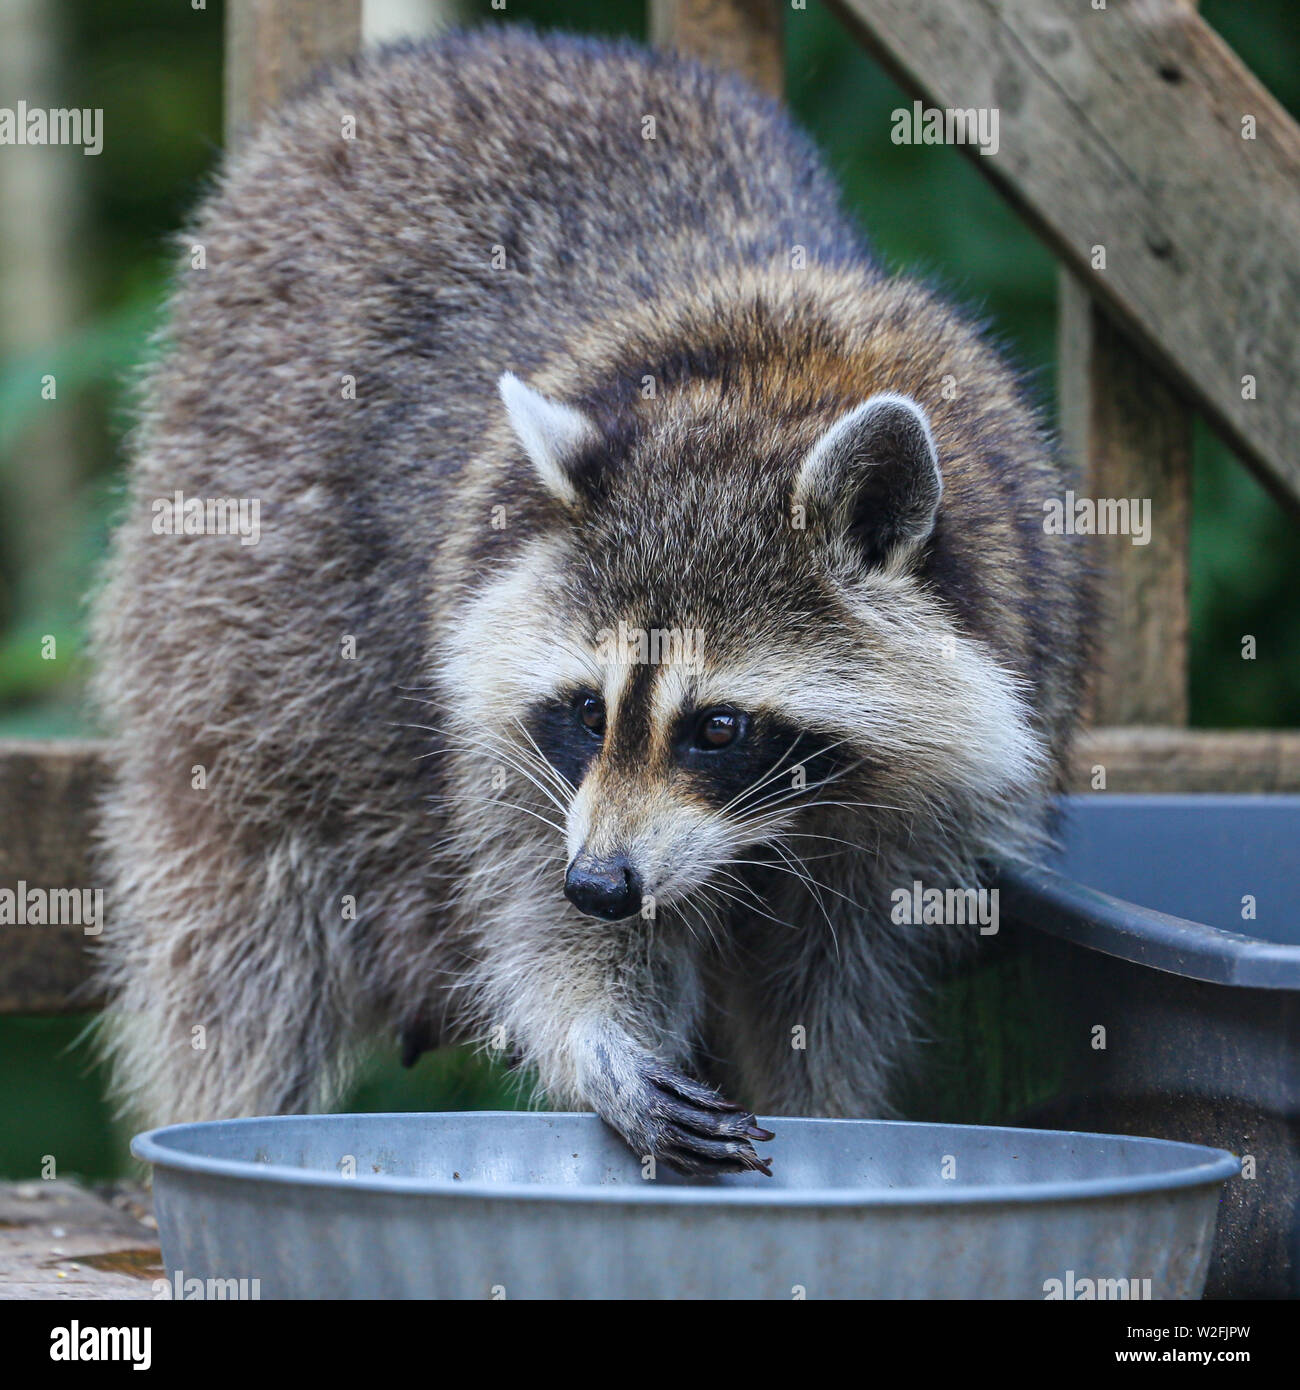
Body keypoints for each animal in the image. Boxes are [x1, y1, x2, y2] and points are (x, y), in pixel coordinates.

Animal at [91, 27, 1090, 1173]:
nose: (604, 885)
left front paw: (832, 1115)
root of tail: (471, 47)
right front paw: (601, 1036)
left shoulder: (929, 793)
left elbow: (836, 988)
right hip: (236, 574)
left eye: (719, 725)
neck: (782, 380)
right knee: (240, 914)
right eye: (582, 706)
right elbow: (539, 914)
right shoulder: (516, 751)